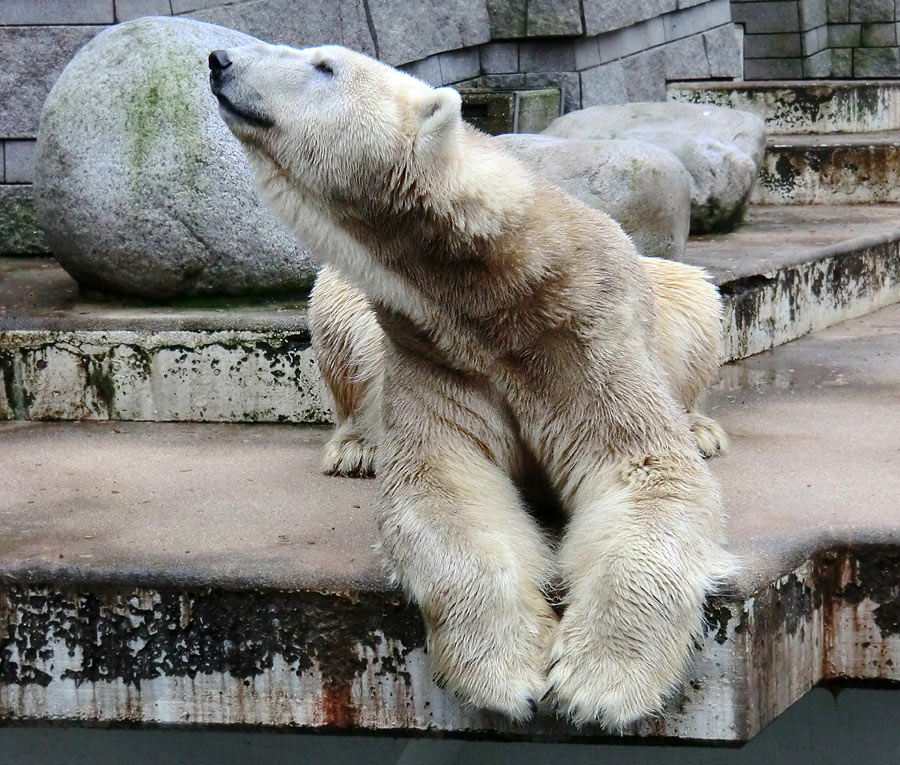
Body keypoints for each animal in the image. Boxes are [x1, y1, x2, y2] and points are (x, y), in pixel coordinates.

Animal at [211, 46, 740, 728]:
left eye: (324, 66)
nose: (219, 58)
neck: (494, 289)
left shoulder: (585, 336)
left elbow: (646, 468)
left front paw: (598, 683)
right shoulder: (436, 353)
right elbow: (444, 484)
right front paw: (506, 671)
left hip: (674, 299)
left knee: (697, 297)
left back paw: (701, 428)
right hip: (345, 305)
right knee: (337, 325)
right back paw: (357, 447)